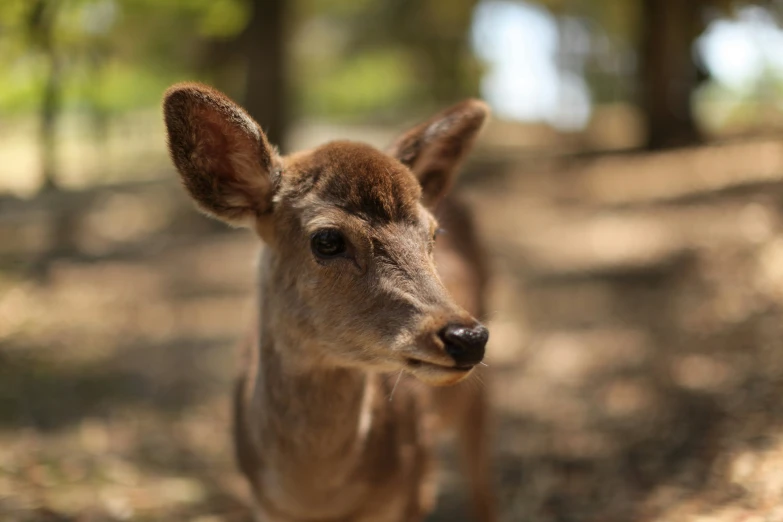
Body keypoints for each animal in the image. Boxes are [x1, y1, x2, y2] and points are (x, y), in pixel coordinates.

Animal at [163, 83, 496, 516]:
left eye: (434, 234)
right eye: (327, 240)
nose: (467, 337)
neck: (316, 500)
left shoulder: (411, 491)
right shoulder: (262, 505)